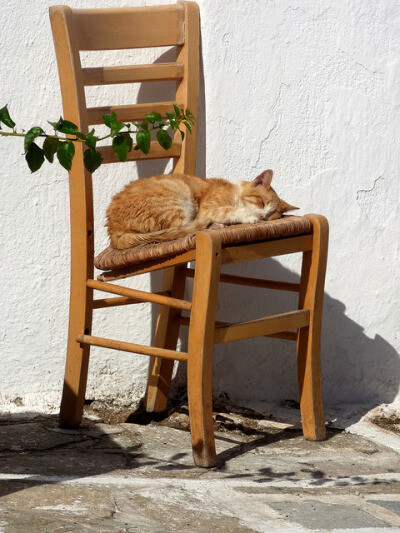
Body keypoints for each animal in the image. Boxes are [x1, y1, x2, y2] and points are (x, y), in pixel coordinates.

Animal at [105, 168, 296, 249]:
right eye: (261, 203)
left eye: (271, 216)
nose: (264, 218)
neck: (234, 192)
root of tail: (113, 231)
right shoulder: (207, 209)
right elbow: (230, 210)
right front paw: (248, 216)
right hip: (178, 199)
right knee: (184, 228)